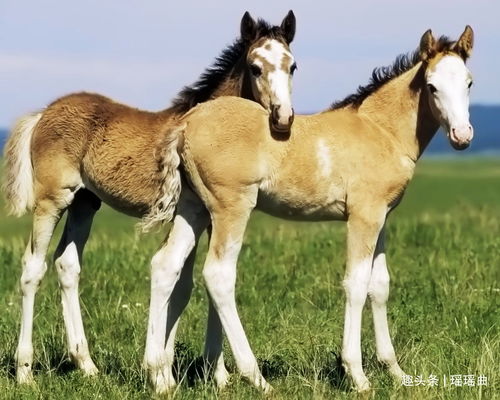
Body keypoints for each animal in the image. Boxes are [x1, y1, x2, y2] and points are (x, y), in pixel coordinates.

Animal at [0, 10, 296, 390]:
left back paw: (87, 365)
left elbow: (191, 284)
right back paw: (25, 371)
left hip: (85, 203)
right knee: (32, 268)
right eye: (255, 67)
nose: (283, 118)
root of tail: (43, 112)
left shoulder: (208, 216)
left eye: (292, 66)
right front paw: (172, 372)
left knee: (67, 264)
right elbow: (184, 280)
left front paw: (214, 375)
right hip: (53, 199)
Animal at [167, 26, 472, 392]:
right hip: (231, 208)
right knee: (218, 275)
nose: (462, 135)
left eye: (469, 82)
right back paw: (256, 378)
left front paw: (395, 371)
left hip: (193, 207)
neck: (381, 131)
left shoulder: (381, 217)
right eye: (432, 86)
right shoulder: (363, 216)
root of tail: (186, 123)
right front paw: (357, 375)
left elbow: (379, 285)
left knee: (166, 268)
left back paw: (161, 374)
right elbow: (356, 284)